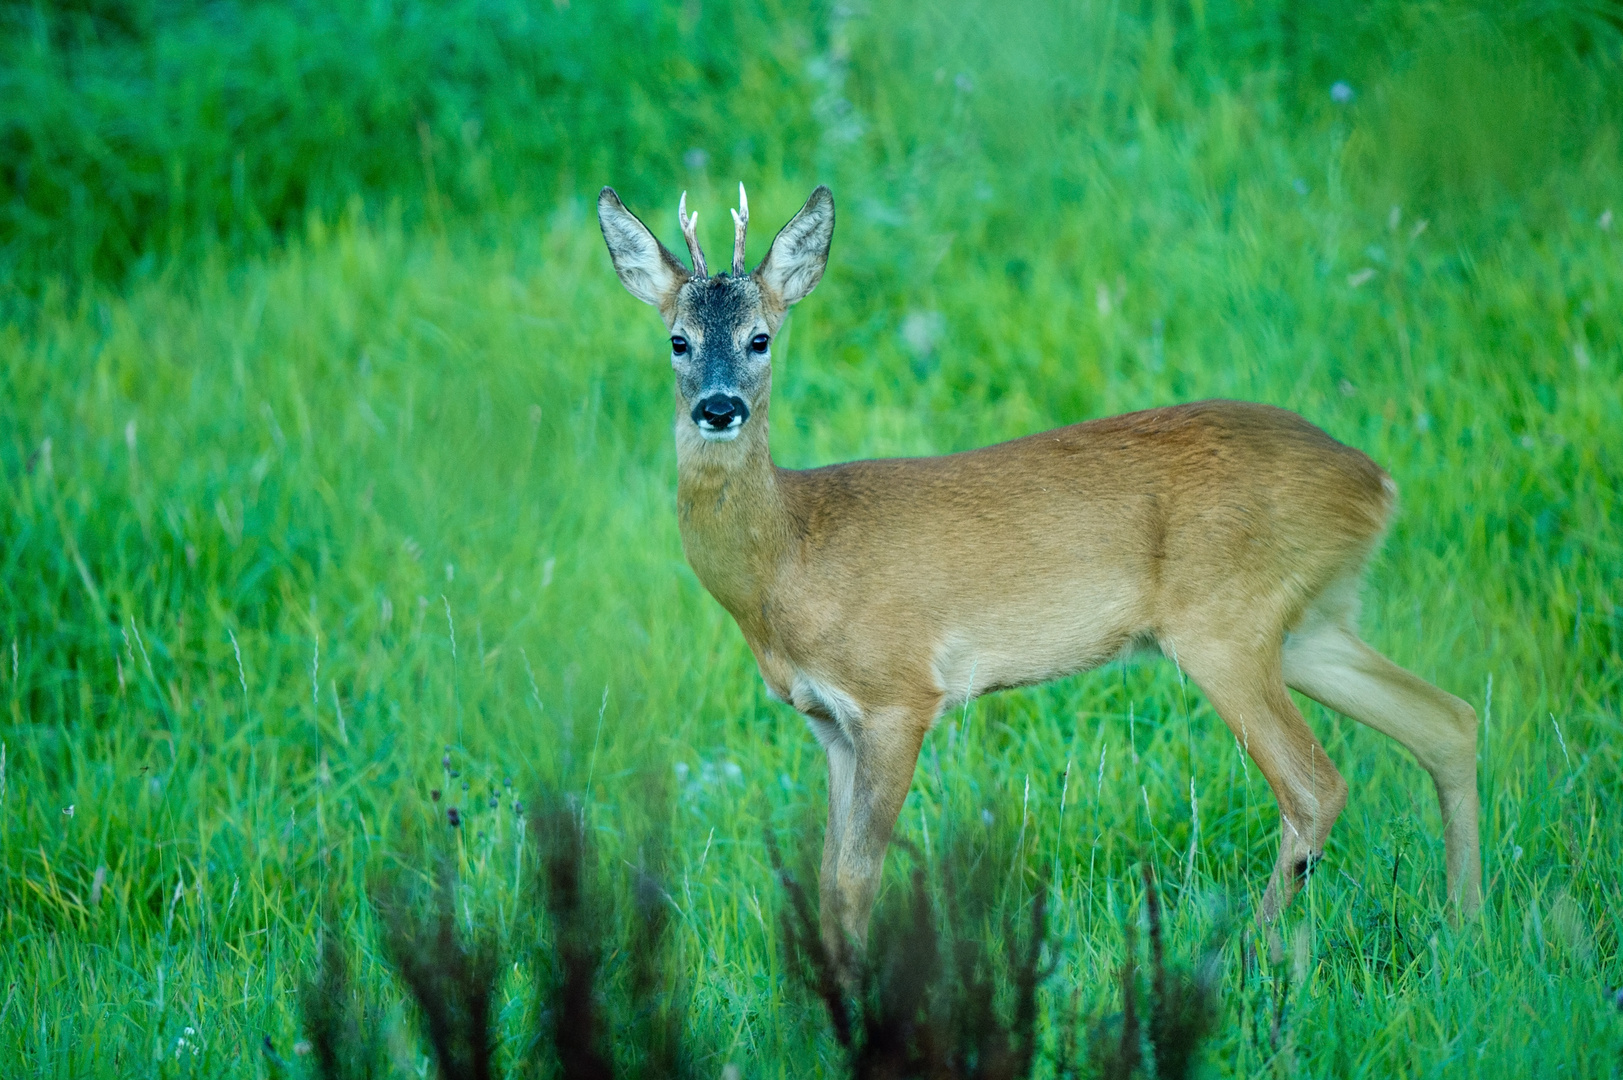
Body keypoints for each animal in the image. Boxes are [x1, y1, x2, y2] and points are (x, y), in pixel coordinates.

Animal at [600, 181, 1486, 954]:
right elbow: (828, 884)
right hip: (1307, 624)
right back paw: (1464, 927)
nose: (718, 408)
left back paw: (1254, 952)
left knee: (1314, 784)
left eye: (761, 338)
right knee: (1447, 720)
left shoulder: (897, 695)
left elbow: (856, 879)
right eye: (677, 340)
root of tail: (1376, 483)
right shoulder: (827, 722)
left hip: (1224, 621)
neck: (788, 557)